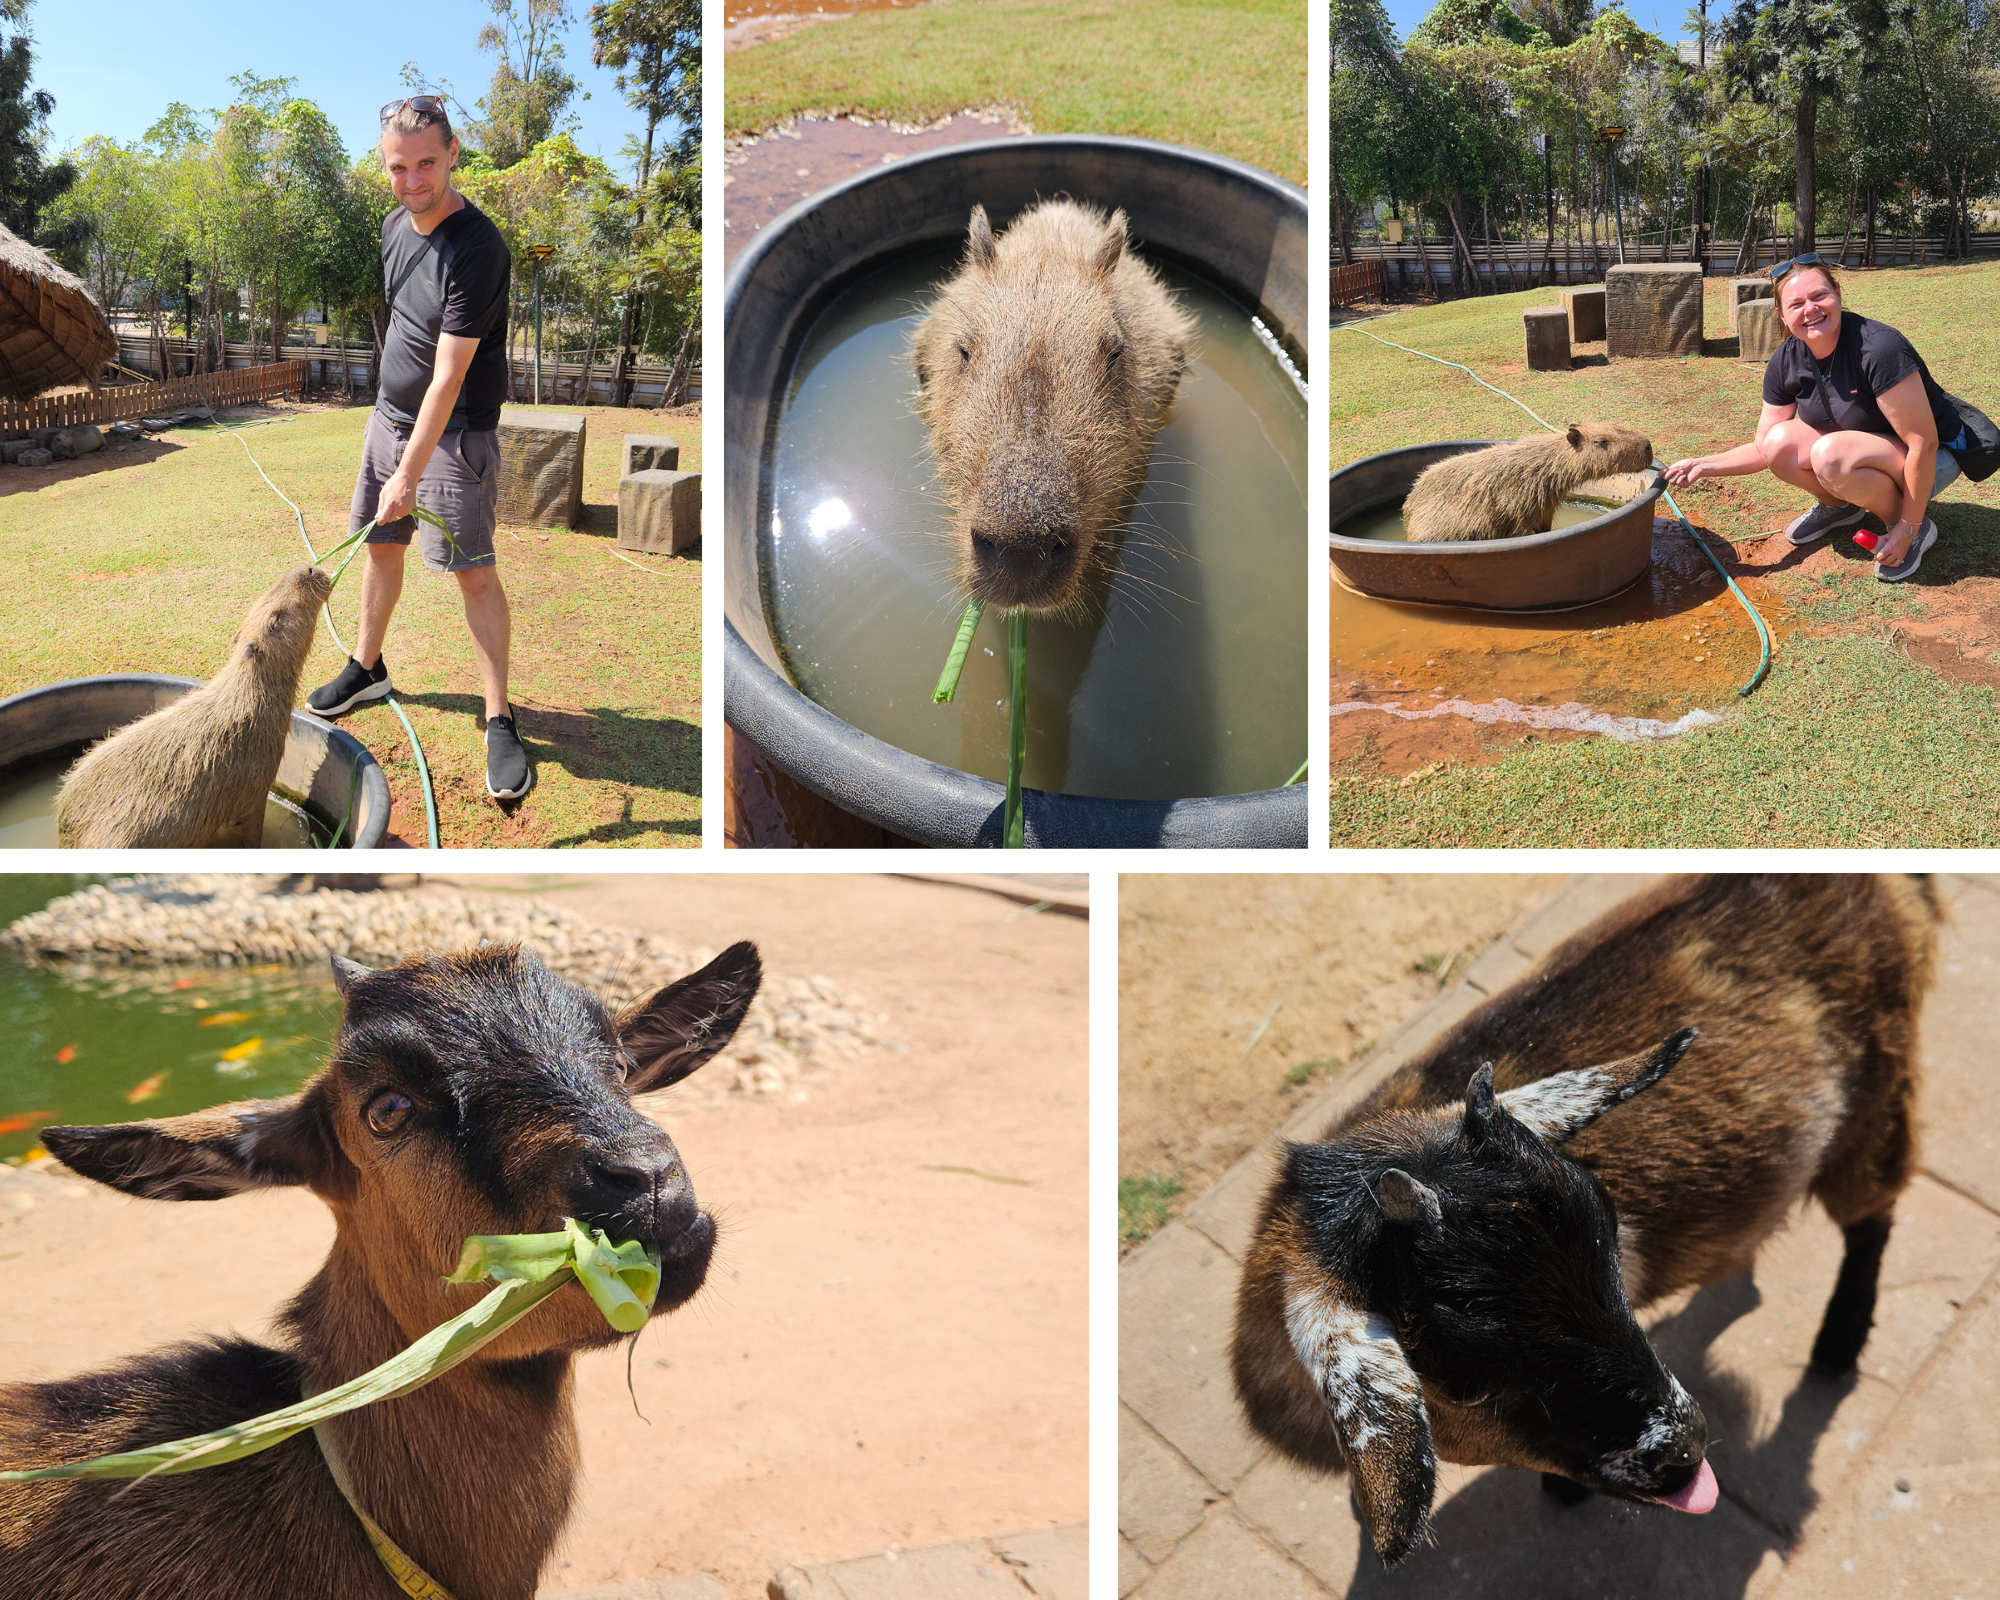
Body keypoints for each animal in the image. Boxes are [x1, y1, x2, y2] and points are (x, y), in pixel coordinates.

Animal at [1231, 873, 1937, 1567]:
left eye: (1614, 1255)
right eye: (1469, 1381)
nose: (1685, 1448)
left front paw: (1564, 1494)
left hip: (1878, 1093)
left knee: (1872, 1217)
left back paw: (1838, 1342)